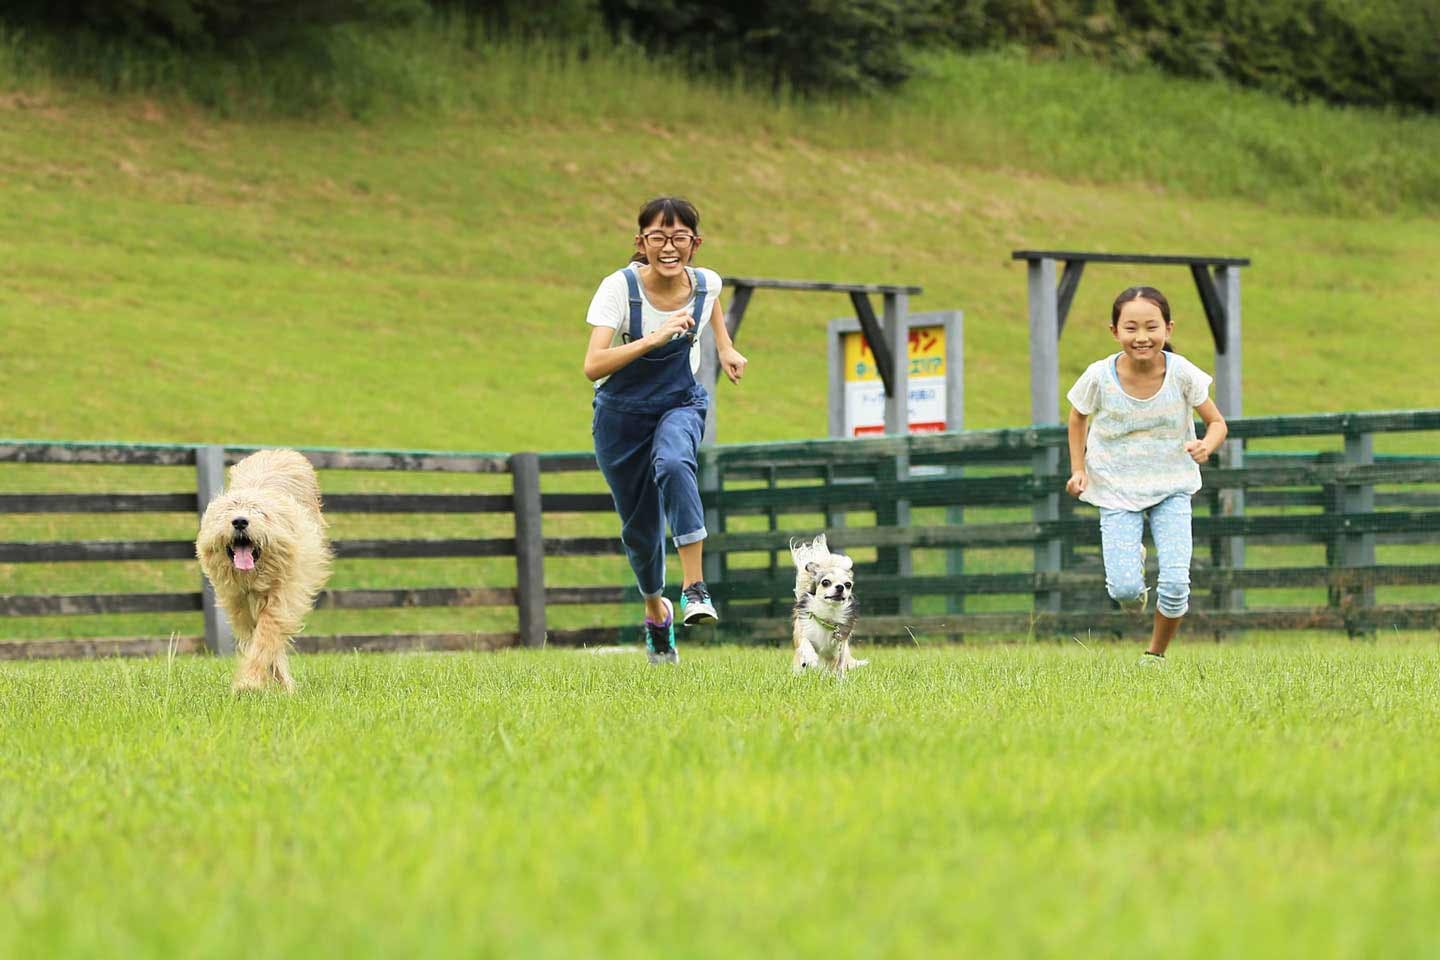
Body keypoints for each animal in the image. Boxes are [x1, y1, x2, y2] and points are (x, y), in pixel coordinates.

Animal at [197, 449, 331, 690]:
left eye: (259, 512)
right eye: (228, 511)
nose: (240, 521)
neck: (253, 579)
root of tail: (281, 451)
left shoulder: (283, 597)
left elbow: (267, 635)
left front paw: (250, 683)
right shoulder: (239, 605)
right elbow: (258, 639)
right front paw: (273, 681)